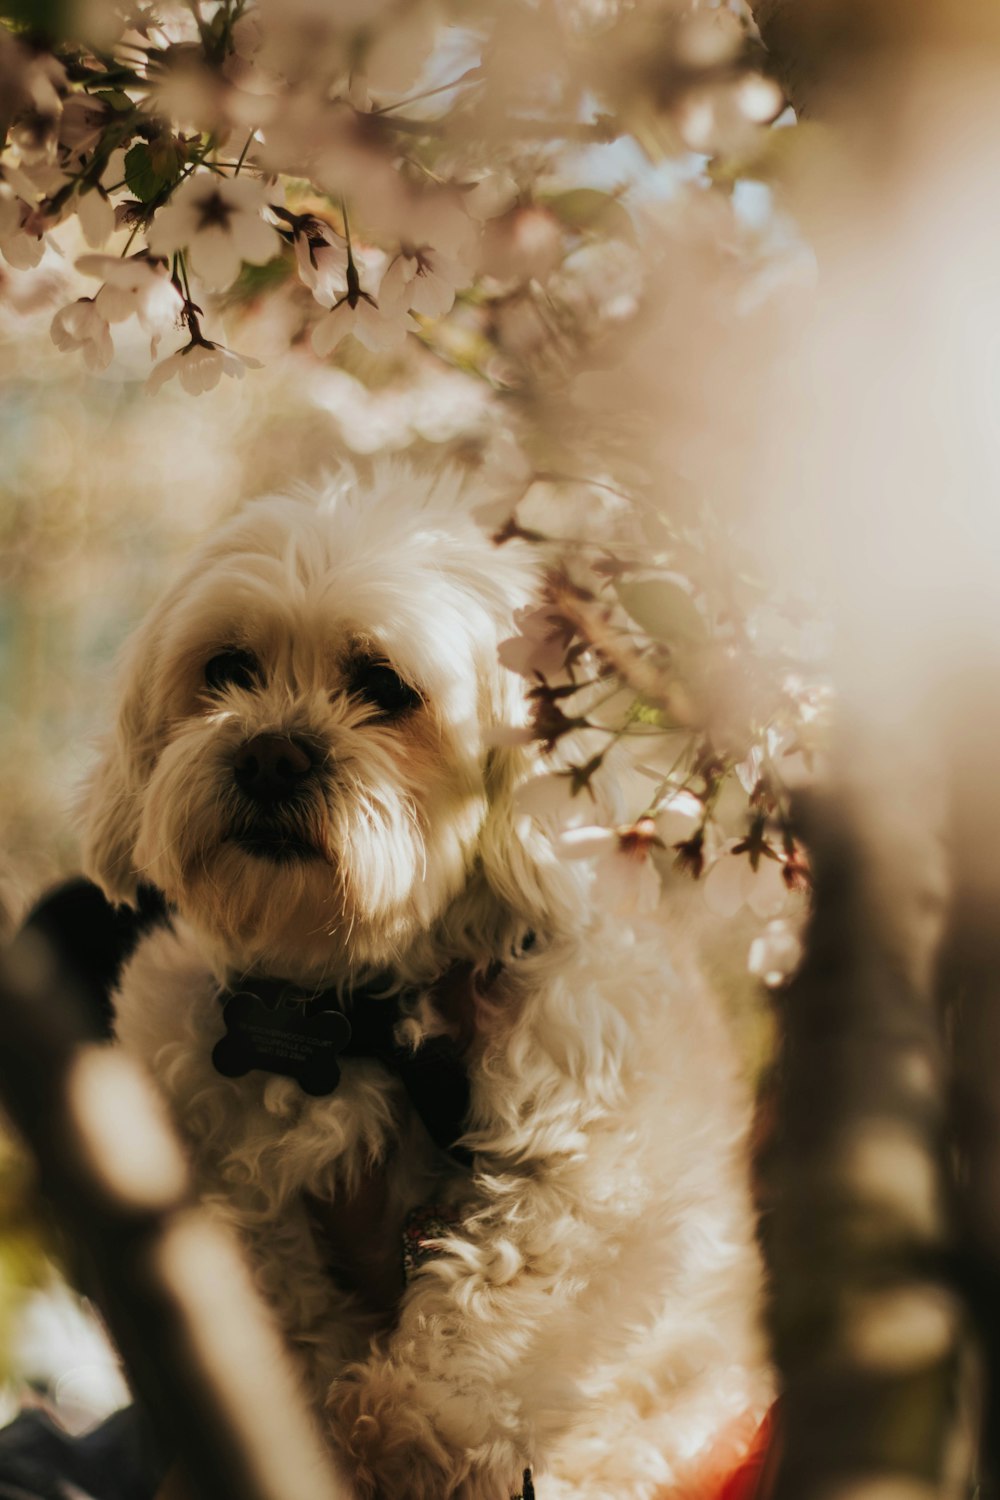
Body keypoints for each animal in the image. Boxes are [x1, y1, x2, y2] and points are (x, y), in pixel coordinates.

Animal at [82, 465, 773, 1500]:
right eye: (227, 669)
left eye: (384, 686)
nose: (271, 752)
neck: (357, 1005)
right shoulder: (213, 1158)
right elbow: (279, 1304)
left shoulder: (605, 1163)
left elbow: (516, 1276)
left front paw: (413, 1423)